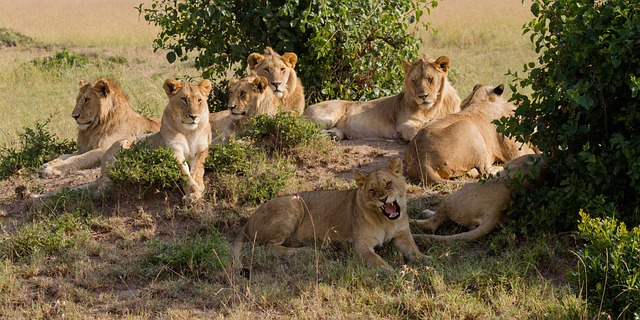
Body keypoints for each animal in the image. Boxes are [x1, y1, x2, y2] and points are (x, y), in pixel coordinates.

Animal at [234, 158, 424, 270]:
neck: (387, 221)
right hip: (293, 202)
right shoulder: (361, 244)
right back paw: (307, 252)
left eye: (388, 184)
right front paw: (389, 271)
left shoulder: (402, 235)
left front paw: (427, 261)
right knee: (268, 247)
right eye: (371, 190)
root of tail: (249, 219)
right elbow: (375, 259)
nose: (384, 199)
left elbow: (415, 251)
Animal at [304, 55, 460, 141]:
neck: (434, 108)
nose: (422, 96)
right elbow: (417, 130)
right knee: (307, 128)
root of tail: (306, 108)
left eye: (430, 79)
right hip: (327, 117)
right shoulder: (403, 124)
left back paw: (334, 135)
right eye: (414, 81)